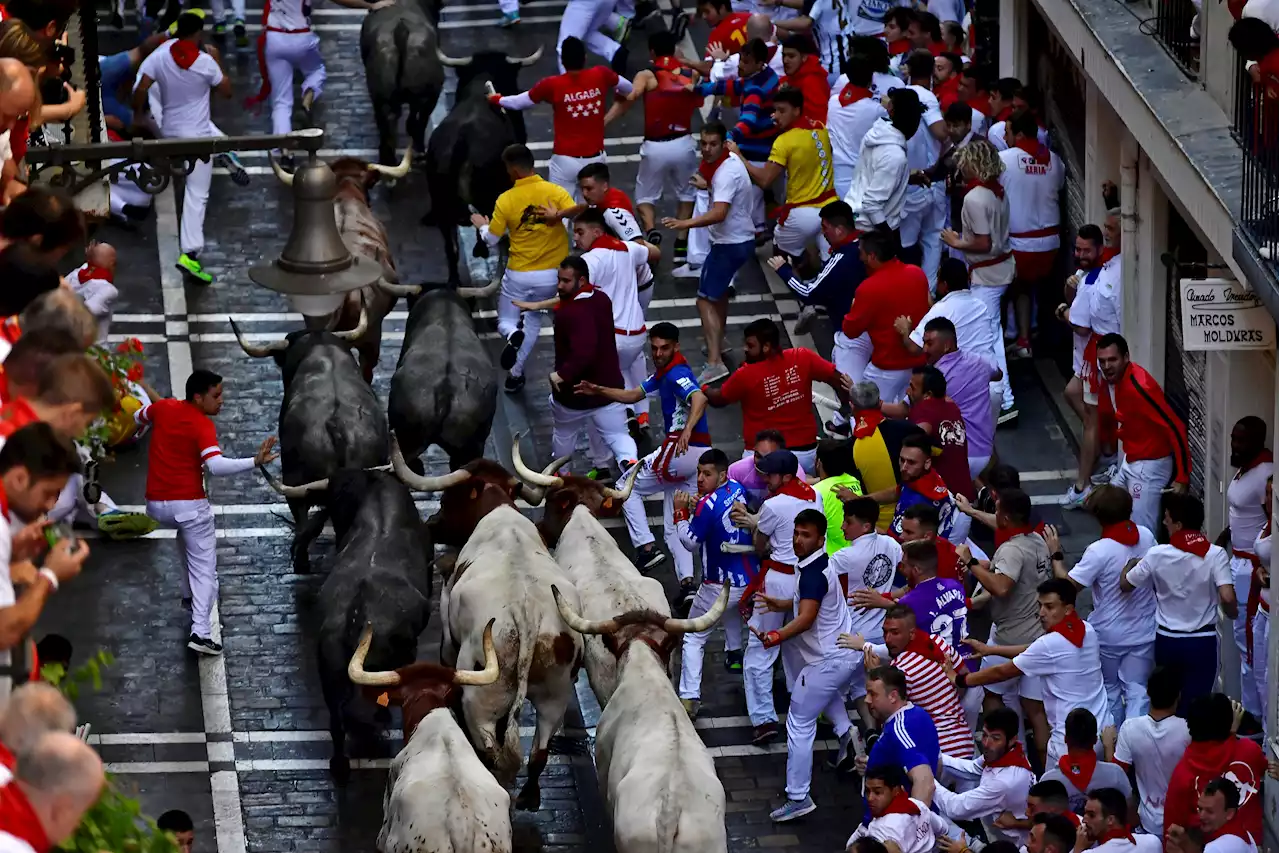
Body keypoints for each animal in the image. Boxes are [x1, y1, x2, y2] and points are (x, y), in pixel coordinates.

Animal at [440, 504, 581, 809]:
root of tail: (526, 611)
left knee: (492, 752)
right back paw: (528, 797)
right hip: (556, 694)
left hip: (480, 700)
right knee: (539, 752)